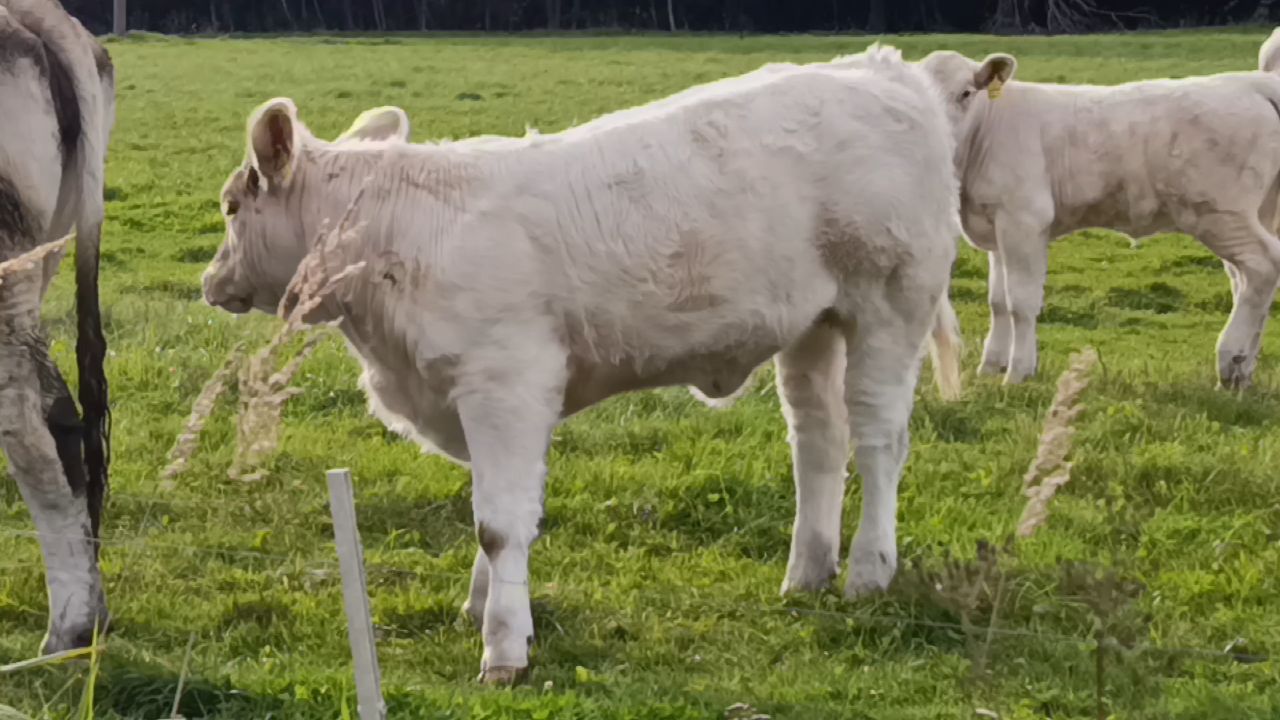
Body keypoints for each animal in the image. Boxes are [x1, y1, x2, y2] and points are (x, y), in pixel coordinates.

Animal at [202, 46, 964, 682]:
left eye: (231, 205)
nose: (211, 282)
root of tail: (882, 68)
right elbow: (492, 509)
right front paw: (482, 606)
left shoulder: (506, 385)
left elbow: (499, 522)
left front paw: (503, 648)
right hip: (812, 326)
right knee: (818, 438)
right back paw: (807, 571)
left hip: (889, 308)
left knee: (878, 439)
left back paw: (868, 570)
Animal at [910, 30, 1280, 389]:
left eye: (966, 93)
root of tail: (1250, 82)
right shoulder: (996, 224)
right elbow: (998, 301)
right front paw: (989, 368)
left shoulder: (1024, 221)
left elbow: (1021, 303)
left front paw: (1017, 373)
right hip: (1253, 213)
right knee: (1244, 279)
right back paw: (1243, 371)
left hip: (1222, 214)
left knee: (1263, 266)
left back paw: (1231, 360)